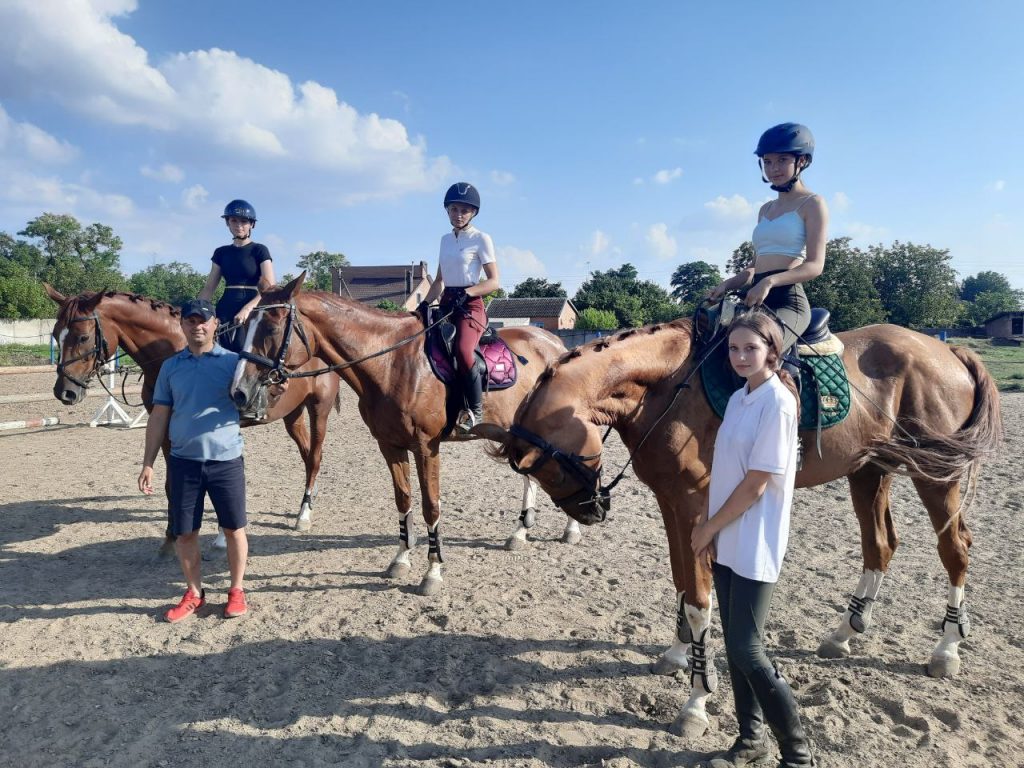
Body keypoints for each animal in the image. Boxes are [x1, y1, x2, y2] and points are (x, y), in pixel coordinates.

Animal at [45, 286, 339, 548]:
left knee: (315, 457)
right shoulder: (166, 428)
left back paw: (303, 514)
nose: (64, 392)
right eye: (55, 334)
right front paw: (173, 533)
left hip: (318, 409)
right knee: (306, 456)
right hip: (293, 415)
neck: (176, 352)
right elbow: (170, 484)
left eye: (83, 337)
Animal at [230, 274, 577, 598]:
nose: (238, 392)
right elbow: (404, 499)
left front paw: (433, 572)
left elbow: (431, 506)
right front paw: (401, 559)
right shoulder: (390, 445)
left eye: (272, 327)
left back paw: (571, 528)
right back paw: (520, 533)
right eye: (245, 326)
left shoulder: (426, 447)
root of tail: (555, 344)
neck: (391, 363)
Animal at [477, 319, 999, 741]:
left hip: (937, 476)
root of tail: (947, 350)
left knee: (955, 549)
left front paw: (695, 702)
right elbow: (682, 582)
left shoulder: (695, 505)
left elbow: (699, 599)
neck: (668, 389)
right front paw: (678, 654)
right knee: (881, 546)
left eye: (549, 469)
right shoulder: (672, 503)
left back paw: (946, 649)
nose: (589, 513)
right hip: (869, 470)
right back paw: (843, 633)